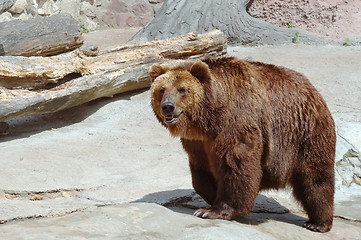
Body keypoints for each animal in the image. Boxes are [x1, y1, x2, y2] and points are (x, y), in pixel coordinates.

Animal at [148, 55, 334, 232]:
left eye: (182, 90)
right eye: (161, 90)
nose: (168, 106)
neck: (209, 121)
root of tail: (313, 89)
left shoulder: (237, 123)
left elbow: (237, 165)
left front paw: (213, 210)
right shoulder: (198, 143)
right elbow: (202, 171)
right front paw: (211, 196)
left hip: (305, 132)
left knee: (315, 177)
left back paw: (318, 223)